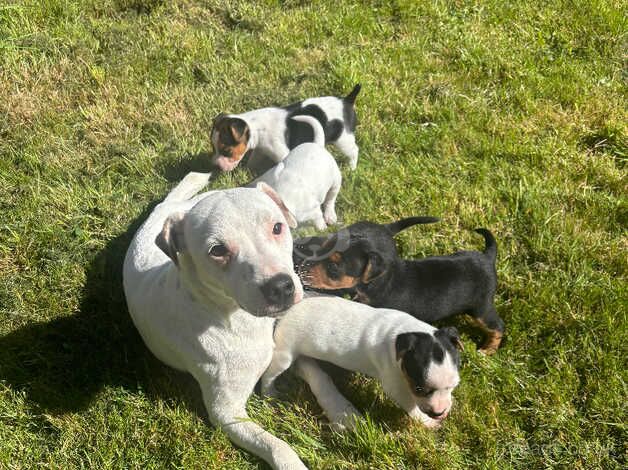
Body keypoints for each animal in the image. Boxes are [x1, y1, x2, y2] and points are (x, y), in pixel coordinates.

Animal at [122, 173, 360, 470]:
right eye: (217, 250)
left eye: (277, 227)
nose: (280, 287)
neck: (239, 320)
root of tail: (167, 208)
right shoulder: (226, 414)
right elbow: (277, 445)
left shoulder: (286, 346)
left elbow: (319, 374)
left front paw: (343, 412)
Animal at [210, 85, 360, 173]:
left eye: (227, 151)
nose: (215, 166)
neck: (256, 128)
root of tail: (347, 101)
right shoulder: (260, 149)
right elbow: (253, 161)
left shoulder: (282, 154)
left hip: (343, 139)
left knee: (354, 150)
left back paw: (351, 168)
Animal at [260, 298, 462, 430]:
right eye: (419, 389)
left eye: (454, 386)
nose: (440, 412)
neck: (403, 334)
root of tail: (286, 313)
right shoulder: (394, 384)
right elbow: (410, 405)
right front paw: (427, 422)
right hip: (285, 352)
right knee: (270, 374)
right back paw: (270, 393)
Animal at [294, 218, 506, 354]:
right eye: (324, 247)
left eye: (333, 268)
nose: (301, 268)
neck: (376, 283)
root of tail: (487, 257)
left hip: (480, 308)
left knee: (497, 326)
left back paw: (488, 349)